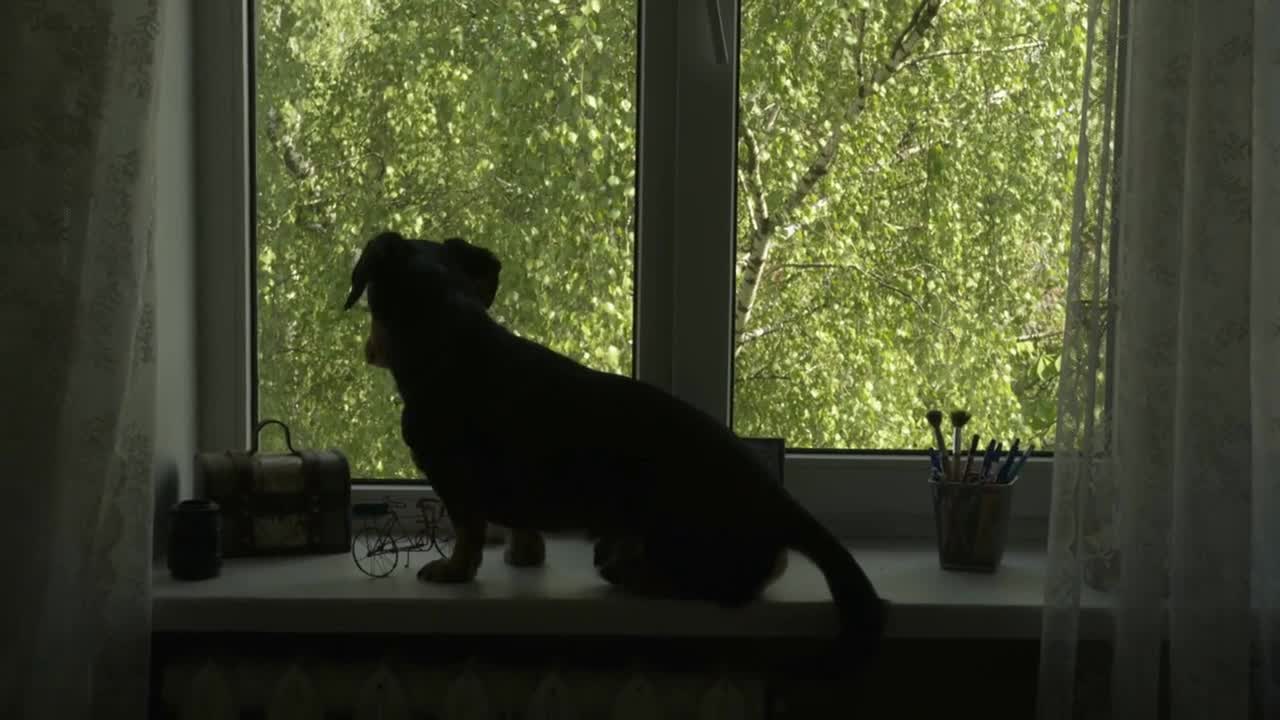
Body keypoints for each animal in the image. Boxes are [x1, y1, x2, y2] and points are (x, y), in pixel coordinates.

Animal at [345, 228, 885, 655]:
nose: (366, 350)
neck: (448, 332)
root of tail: (780, 503)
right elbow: (519, 523)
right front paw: (523, 553)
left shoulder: (454, 479)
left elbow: (468, 530)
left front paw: (454, 570)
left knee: (730, 586)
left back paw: (638, 574)